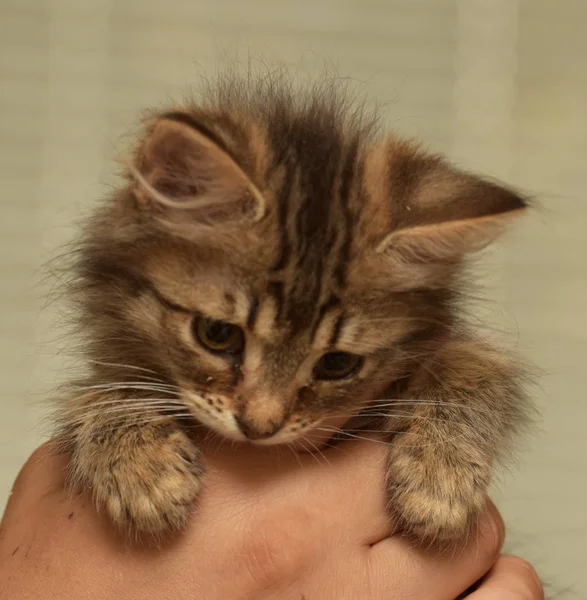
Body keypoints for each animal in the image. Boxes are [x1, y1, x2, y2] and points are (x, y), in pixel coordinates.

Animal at [58, 75, 532, 544]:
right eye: (217, 334)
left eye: (337, 364)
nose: (258, 427)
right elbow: (97, 392)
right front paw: (143, 469)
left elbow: (474, 364)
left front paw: (440, 475)